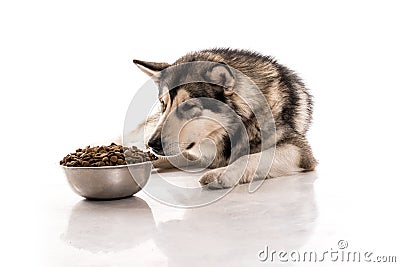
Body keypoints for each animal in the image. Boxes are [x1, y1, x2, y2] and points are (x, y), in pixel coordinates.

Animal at [131, 48, 316, 191]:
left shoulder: (299, 150)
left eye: (188, 106)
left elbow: (252, 157)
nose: (152, 144)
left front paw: (223, 173)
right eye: (163, 104)